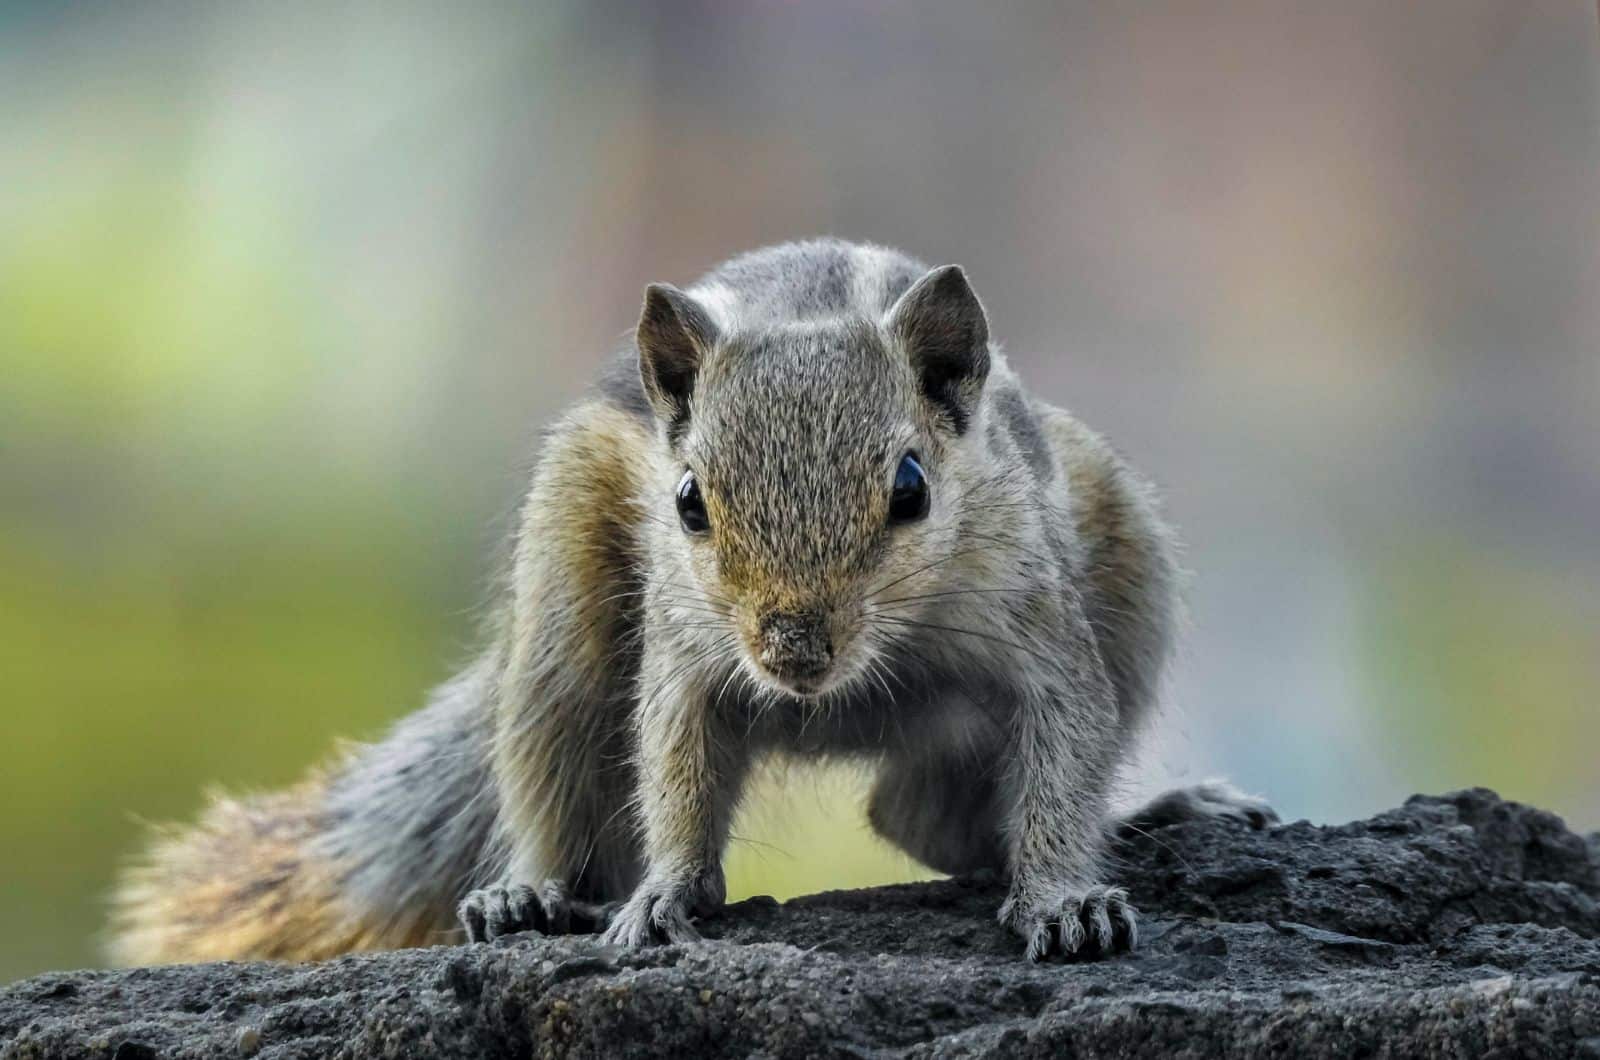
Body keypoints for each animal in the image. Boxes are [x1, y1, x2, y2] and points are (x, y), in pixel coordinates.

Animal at [109, 236, 1273, 967]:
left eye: (911, 488)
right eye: (687, 502)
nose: (793, 651)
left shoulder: (1042, 632)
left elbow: (1062, 758)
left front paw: (1065, 898)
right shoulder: (686, 654)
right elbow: (671, 766)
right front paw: (668, 892)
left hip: (1129, 563)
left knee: (917, 814)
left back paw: (1157, 812)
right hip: (562, 607)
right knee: (556, 769)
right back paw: (529, 891)